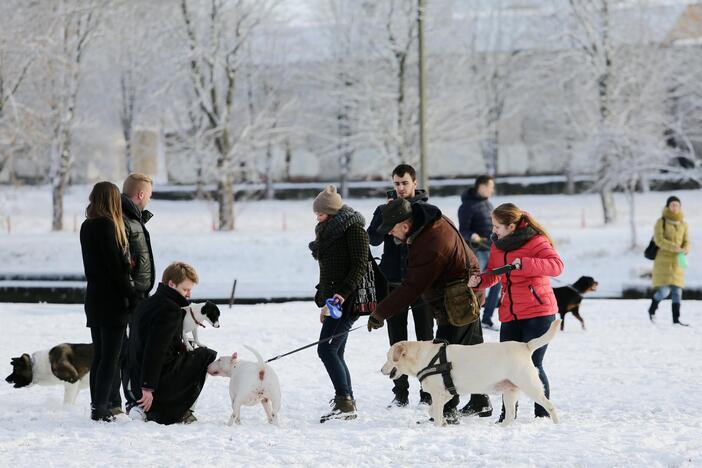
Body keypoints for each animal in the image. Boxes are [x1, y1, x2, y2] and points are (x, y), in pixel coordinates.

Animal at [382, 320, 564, 426]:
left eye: (389, 357)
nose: (381, 370)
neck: (424, 358)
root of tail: (525, 346)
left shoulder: (439, 394)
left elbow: (437, 414)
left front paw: (439, 426)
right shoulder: (446, 394)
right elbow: (432, 410)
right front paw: (444, 422)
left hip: (530, 386)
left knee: (549, 405)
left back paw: (556, 425)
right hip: (509, 392)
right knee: (511, 415)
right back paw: (502, 427)